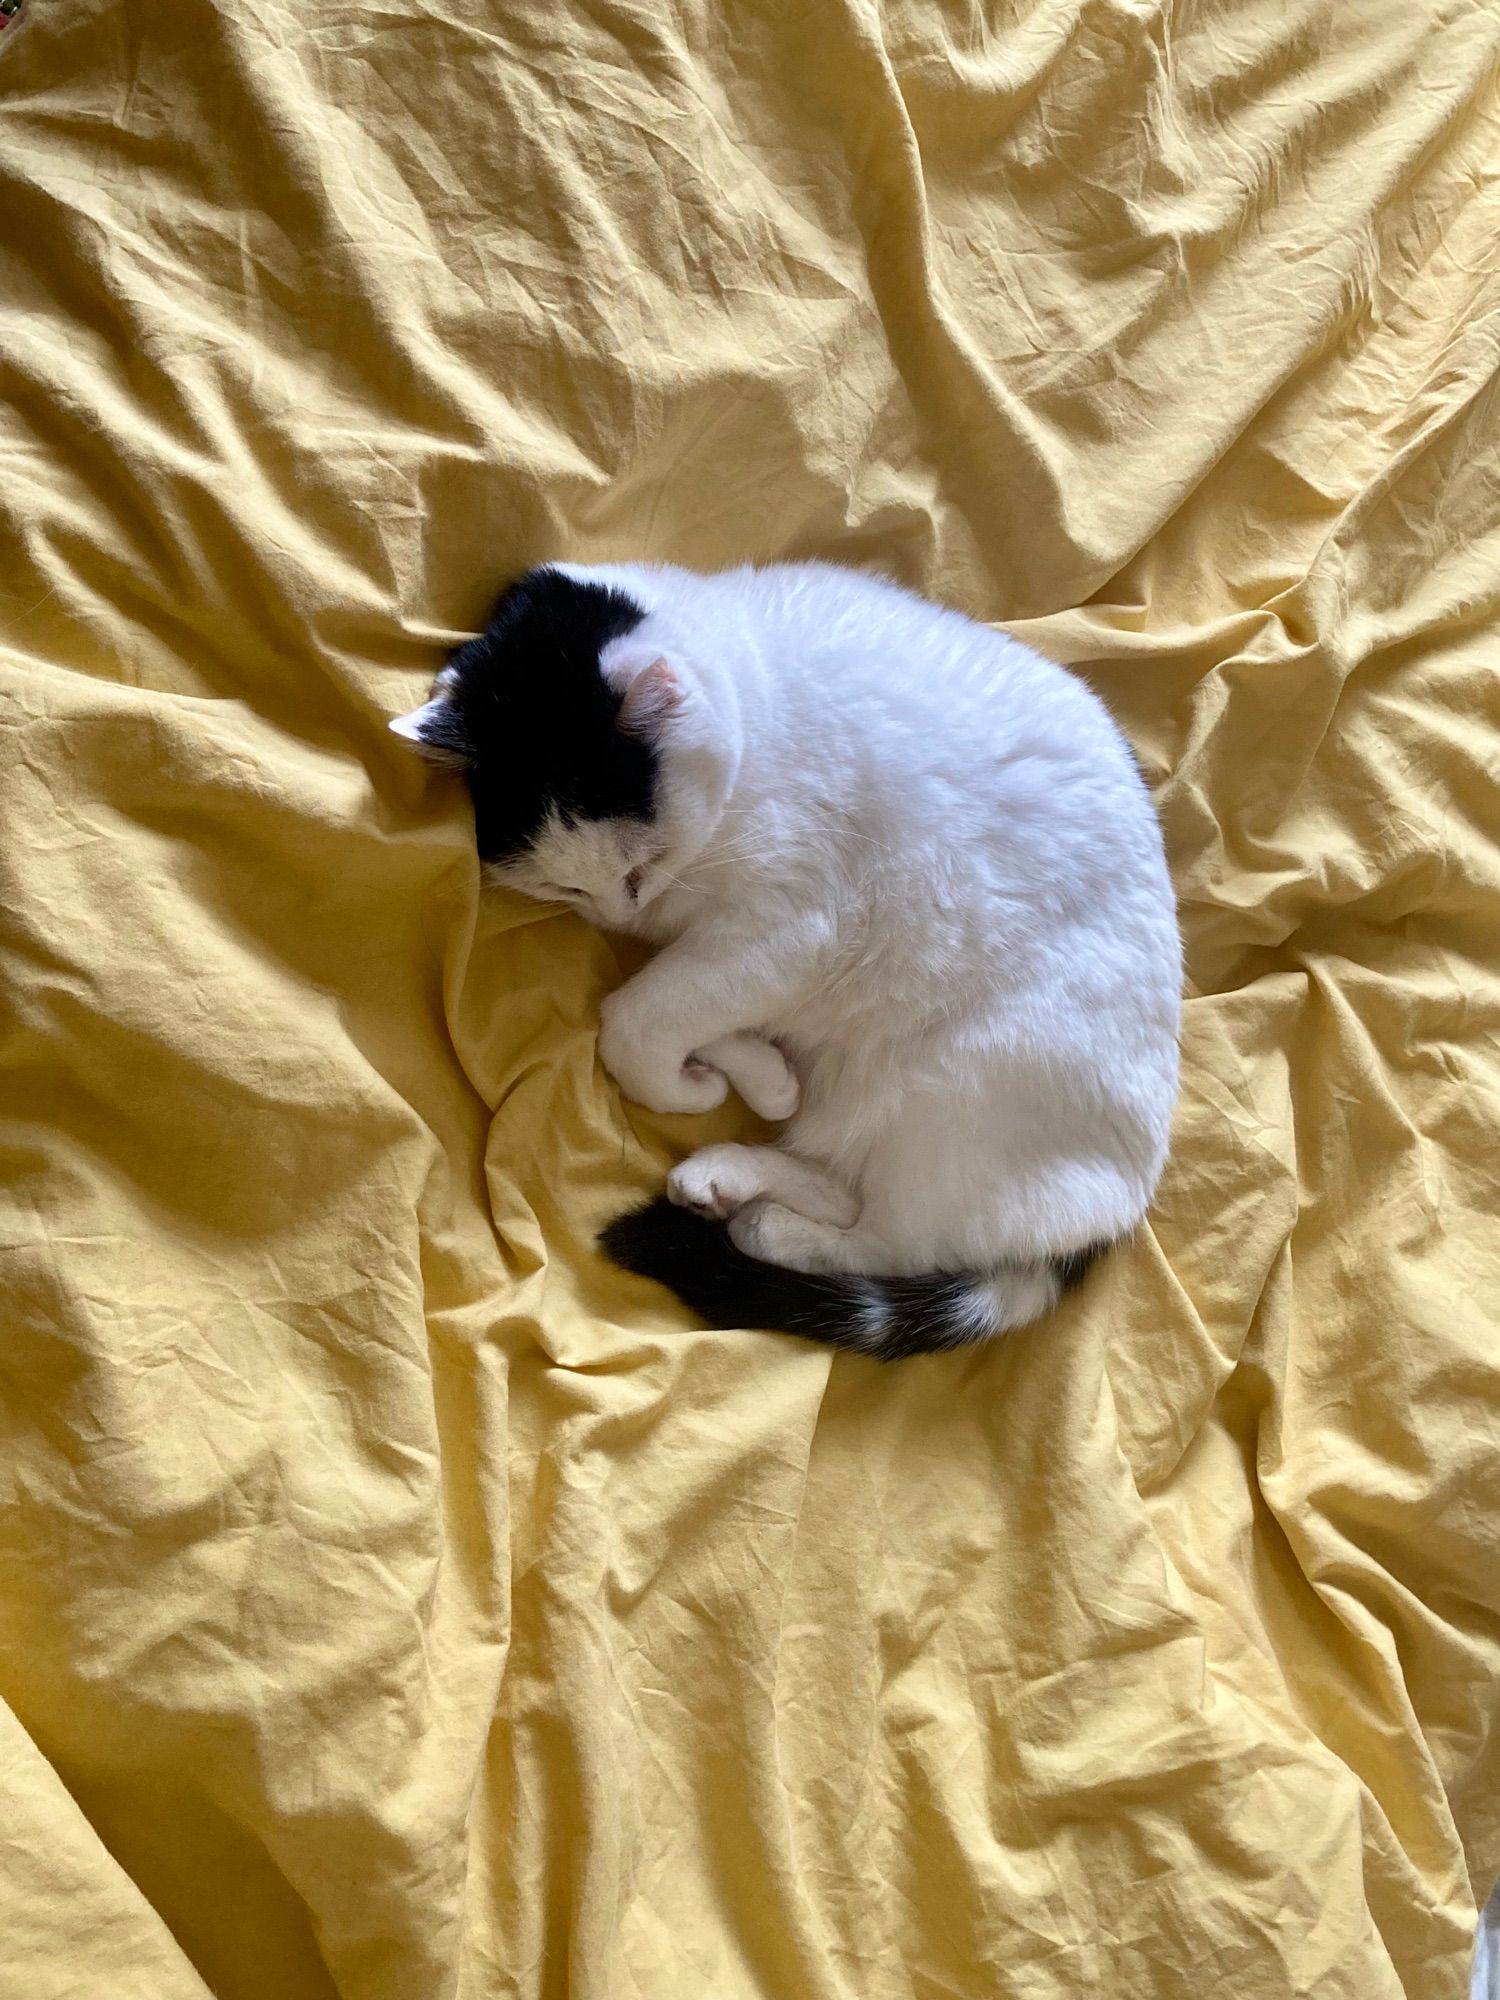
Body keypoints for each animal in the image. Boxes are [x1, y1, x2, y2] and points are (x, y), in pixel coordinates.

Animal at [390, 560, 1184, 1360]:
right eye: (563, 886)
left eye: (642, 865)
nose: (620, 913)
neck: (752, 689)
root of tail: (1111, 1221)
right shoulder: (712, 951)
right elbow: (683, 1004)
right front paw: (757, 1071)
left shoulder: (787, 930)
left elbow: (636, 1015)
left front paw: (690, 1086)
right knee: (840, 1181)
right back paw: (728, 1173)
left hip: (955, 1097)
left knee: (888, 1243)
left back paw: (765, 1225)